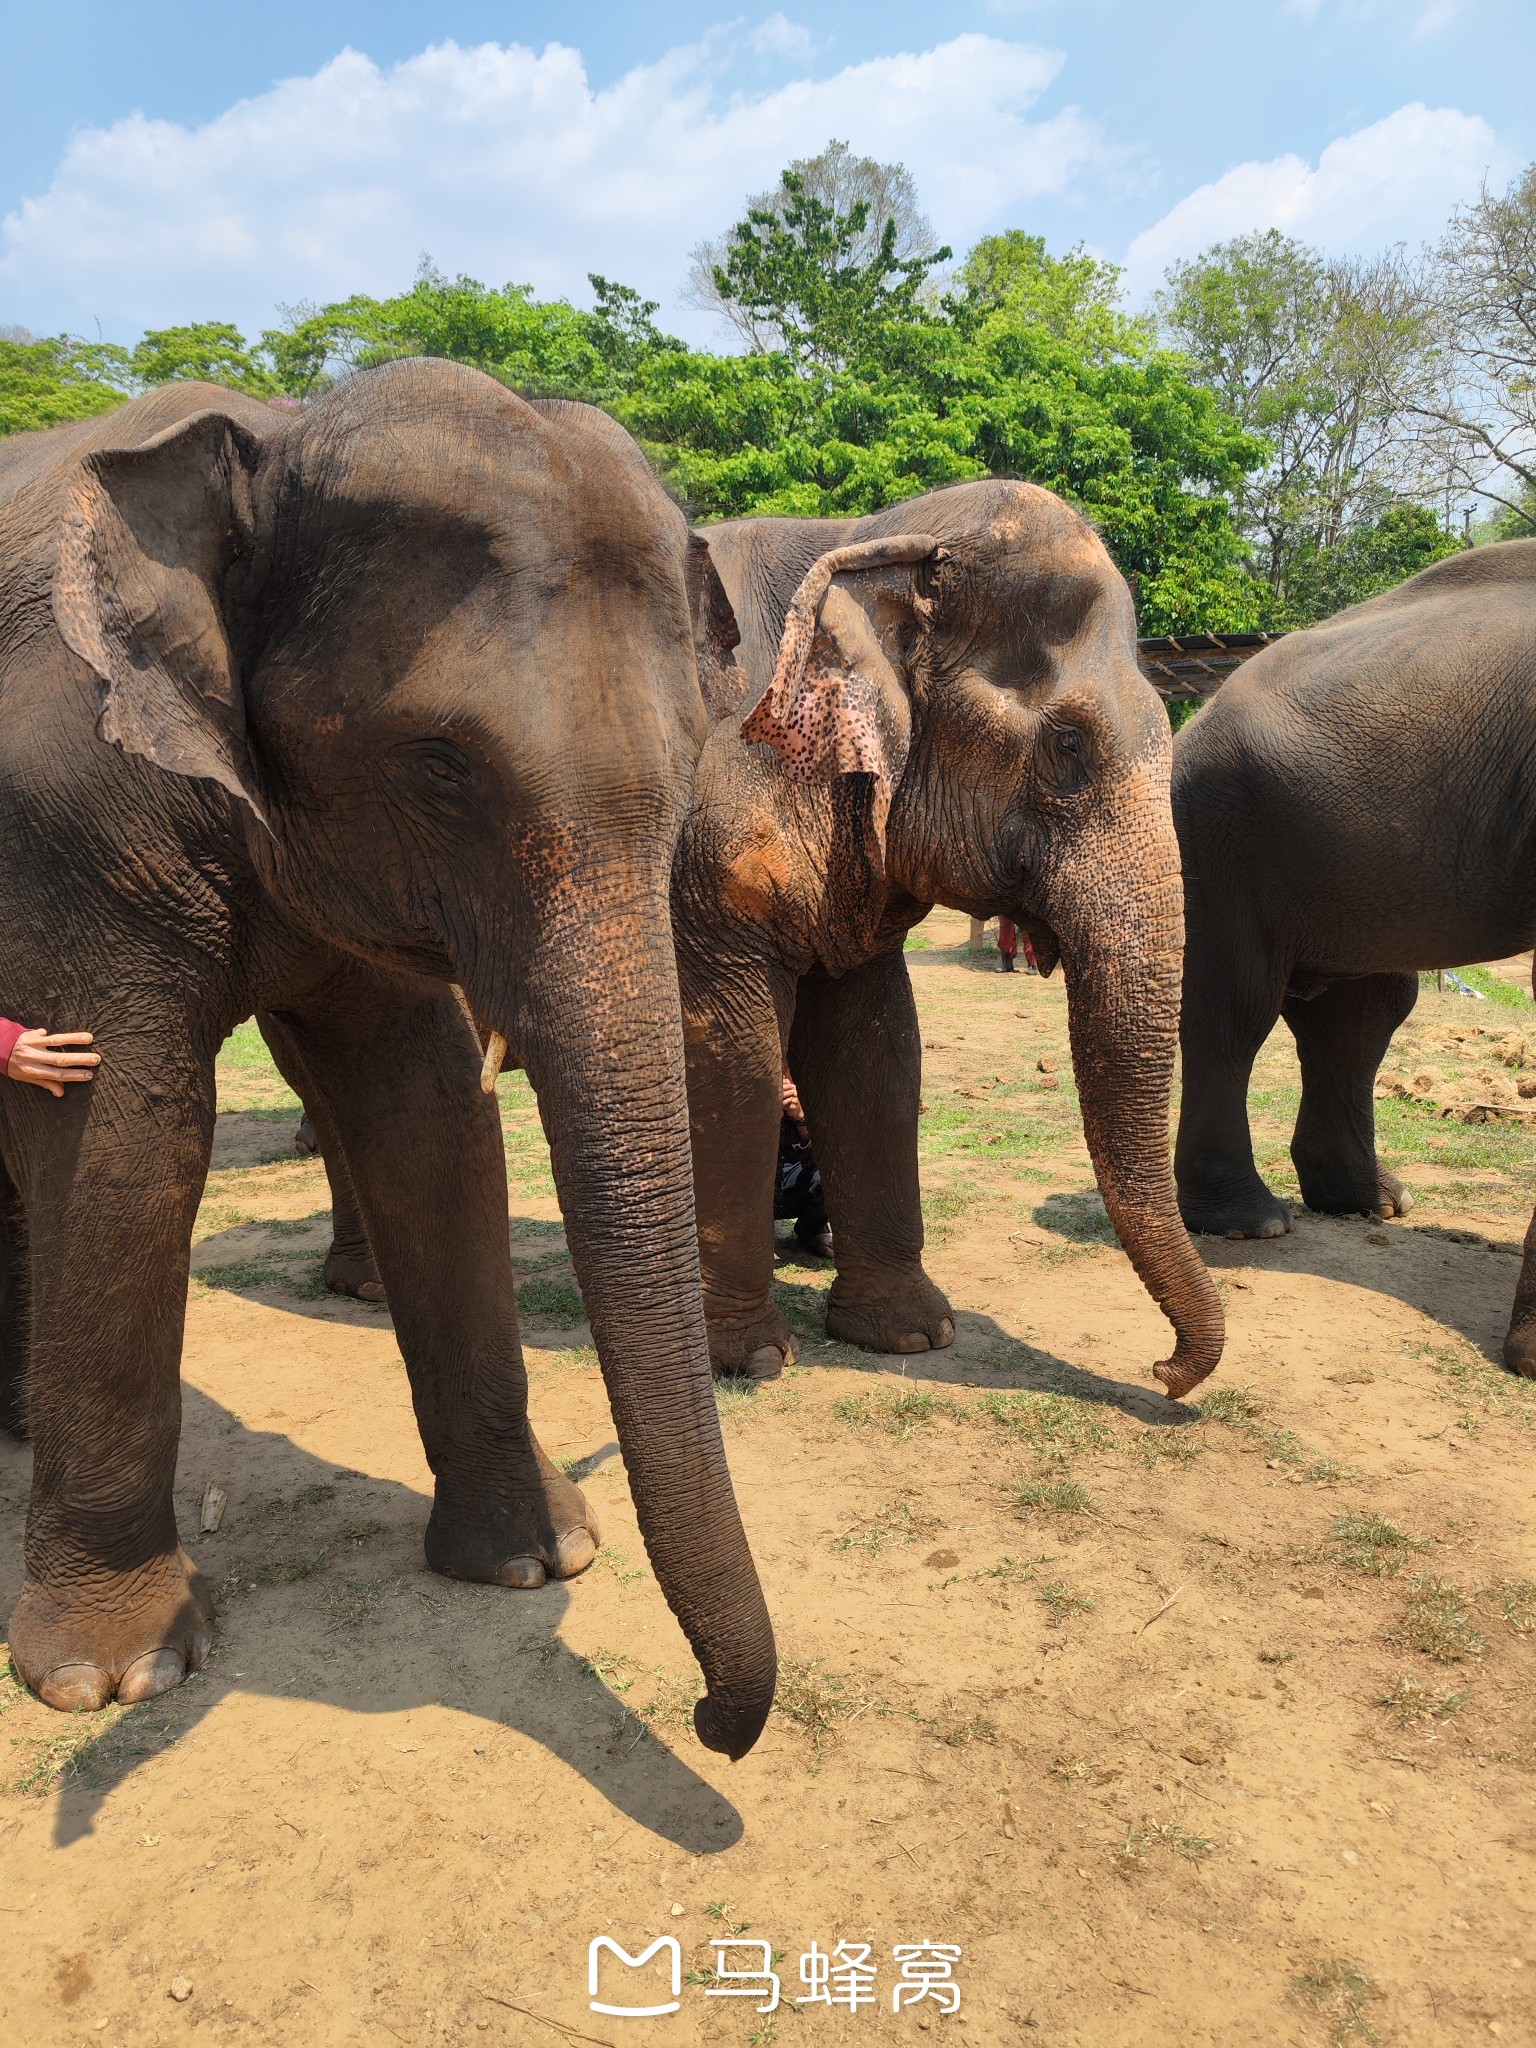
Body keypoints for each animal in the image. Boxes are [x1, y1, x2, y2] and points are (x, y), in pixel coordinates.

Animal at [0, 360, 786, 1753]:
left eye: (693, 756)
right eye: (440, 761)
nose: (712, 1719)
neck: (269, 438)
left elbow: (427, 1119)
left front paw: (535, 1559)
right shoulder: (66, 820)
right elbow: (126, 1135)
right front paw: (110, 1676)